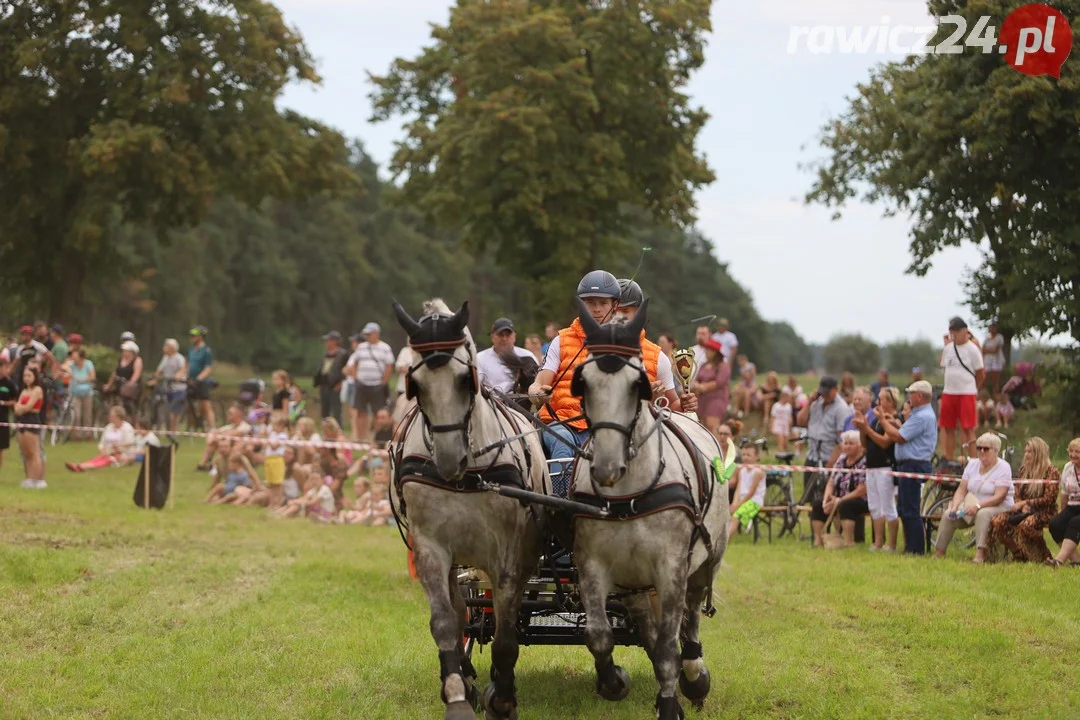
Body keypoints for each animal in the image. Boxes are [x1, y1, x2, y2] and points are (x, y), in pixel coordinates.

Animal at [390, 297, 548, 720]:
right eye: (416, 386)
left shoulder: (508, 555)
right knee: (464, 608)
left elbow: (507, 633)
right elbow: (447, 622)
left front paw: (504, 698)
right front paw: (458, 694)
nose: (449, 459)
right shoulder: (430, 547)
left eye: (466, 379)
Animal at [570, 300, 730, 720]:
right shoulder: (592, 565)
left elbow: (669, 647)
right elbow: (599, 635)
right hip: (633, 582)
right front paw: (613, 682)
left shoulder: (670, 568)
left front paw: (673, 700)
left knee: (691, 618)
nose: (607, 467)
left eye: (637, 383)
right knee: (647, 625)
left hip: (705, 560)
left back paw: (695, 675)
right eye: (583, 382)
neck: (629, 494)